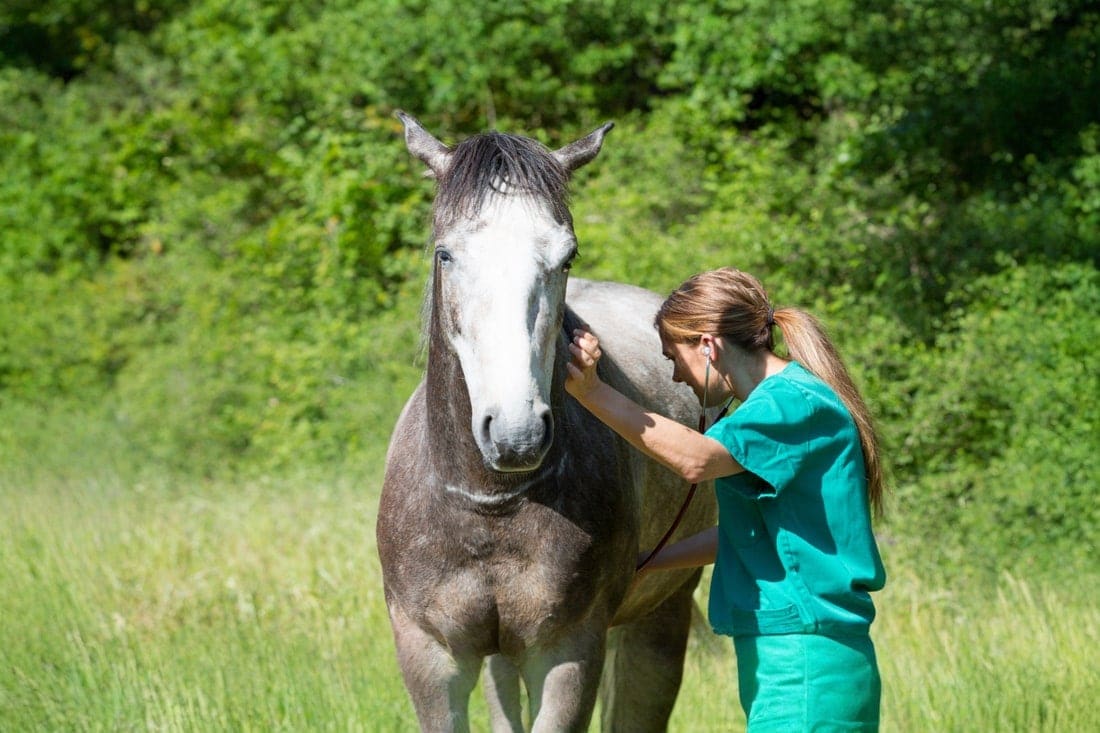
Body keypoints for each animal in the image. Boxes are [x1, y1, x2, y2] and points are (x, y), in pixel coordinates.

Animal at [376, 111, 717, 732]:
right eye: (445, 254)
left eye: (567, 257)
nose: (516, 434)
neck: (489, 503)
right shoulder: (429, 657)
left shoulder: (567, 653)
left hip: (662, 612)